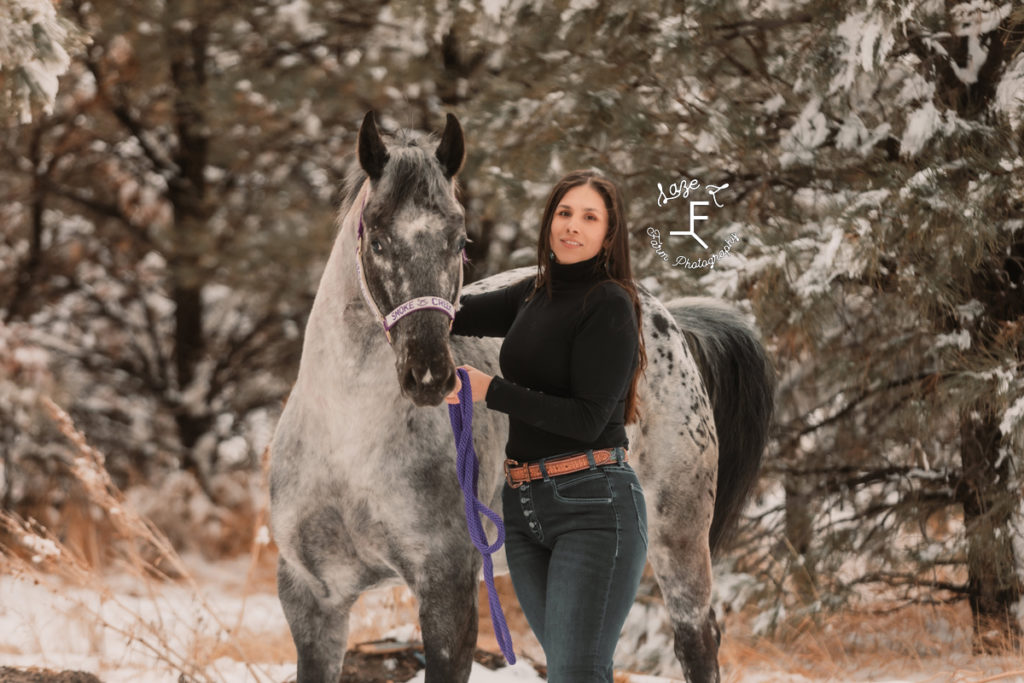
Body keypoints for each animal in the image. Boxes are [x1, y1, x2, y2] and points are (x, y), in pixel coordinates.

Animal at [270, 112, 774, 683]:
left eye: (459, 241)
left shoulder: (447, 593)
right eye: (376, 240)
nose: (430, 374)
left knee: (697, 638)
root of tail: (666, 316)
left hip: (679, 535)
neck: (348, 444)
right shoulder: (312, 602)